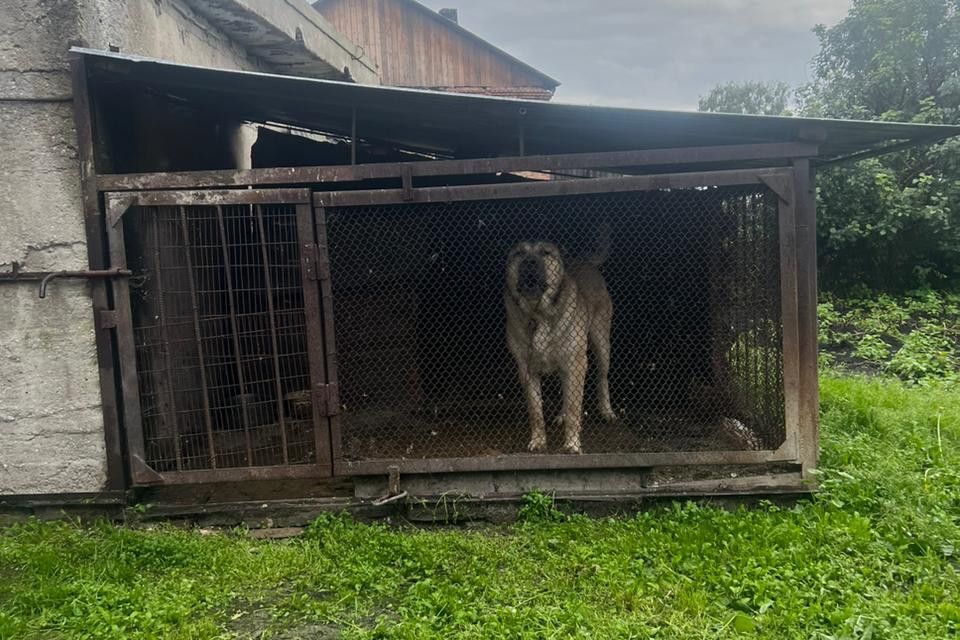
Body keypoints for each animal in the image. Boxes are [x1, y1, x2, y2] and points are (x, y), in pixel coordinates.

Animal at [502, 236, 616, 456]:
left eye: (545, 252)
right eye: (519, 253)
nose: (529, 262)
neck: (537, 313)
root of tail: (584, 261)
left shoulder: (576, 363)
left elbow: (574, 408)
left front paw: (572, 444)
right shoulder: (526, 370)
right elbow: (536, 411)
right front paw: (538, 441)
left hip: (601, 343)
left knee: (601, 378)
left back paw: (606, 410)